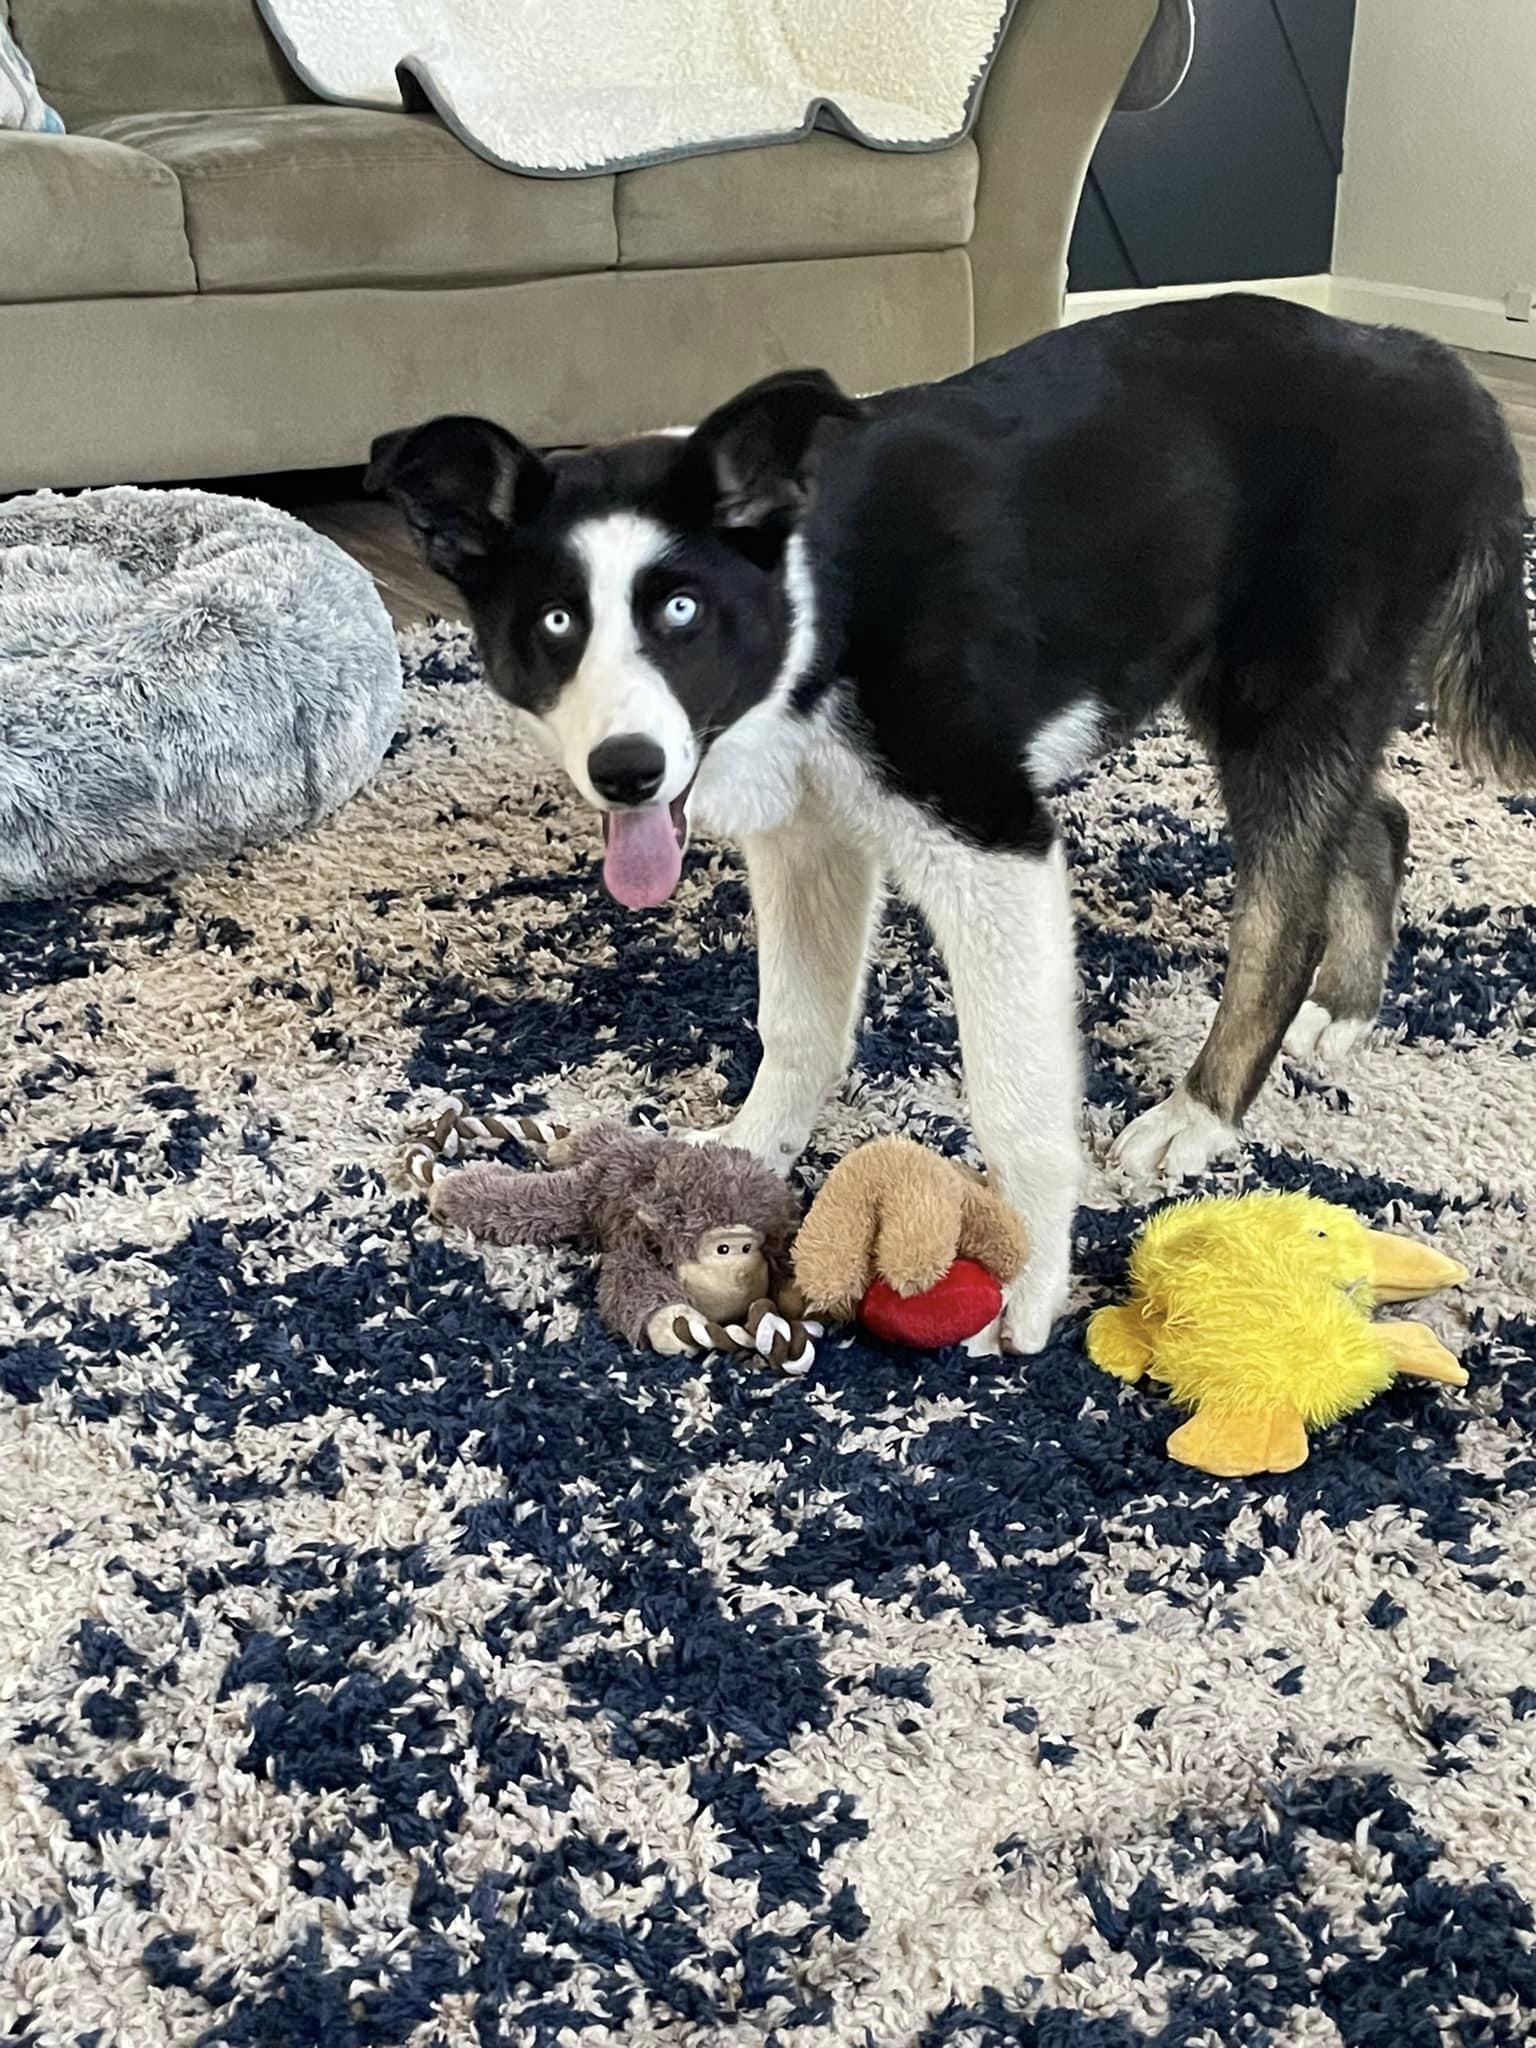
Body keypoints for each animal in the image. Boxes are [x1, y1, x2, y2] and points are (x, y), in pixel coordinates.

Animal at [372, 292, 1536, 1343]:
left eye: (682, 612)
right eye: (554, 624)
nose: (627, 773)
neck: (813, 596)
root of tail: (1430, 362)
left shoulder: (991, 842)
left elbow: (1016, 1099)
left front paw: (1027, 1287)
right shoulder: (809, 843)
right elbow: (796, 1022)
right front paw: (745, 1160)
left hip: (1284, 691)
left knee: (1286, 905)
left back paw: (1201, 1113)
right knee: (1378, 820)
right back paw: (1345, 1010)